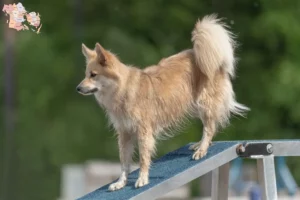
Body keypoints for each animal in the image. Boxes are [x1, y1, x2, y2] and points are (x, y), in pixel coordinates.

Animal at [77, 14, 248, 191]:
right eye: (86, 74)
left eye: (93, 75)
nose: (78, 88)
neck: (122, 90)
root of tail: (198, 52)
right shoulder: (124, 133)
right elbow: (124, 162)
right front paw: (120, 182)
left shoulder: (143, 132)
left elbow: (143, 158)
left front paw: (142, 178)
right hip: (194, 105)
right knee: (210, 126)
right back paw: (199, 145)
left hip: (204, 103)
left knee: (209, 127)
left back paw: (202, 149)